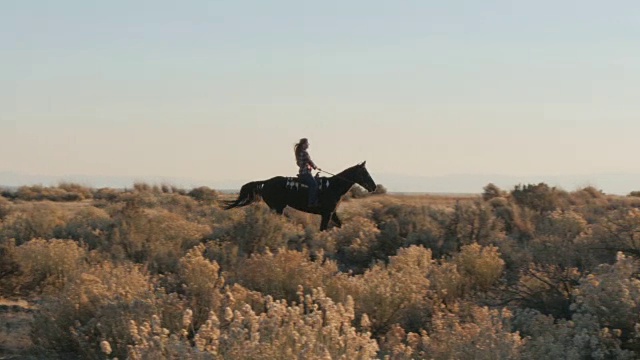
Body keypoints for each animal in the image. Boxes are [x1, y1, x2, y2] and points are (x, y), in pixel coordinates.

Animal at [224, 162, 378, 229]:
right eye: (364, 172)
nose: (374, 187)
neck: (333, 187)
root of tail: (266, 182)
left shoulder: (332, 213)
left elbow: (340, 225)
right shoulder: (326, 214)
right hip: (277, 208)